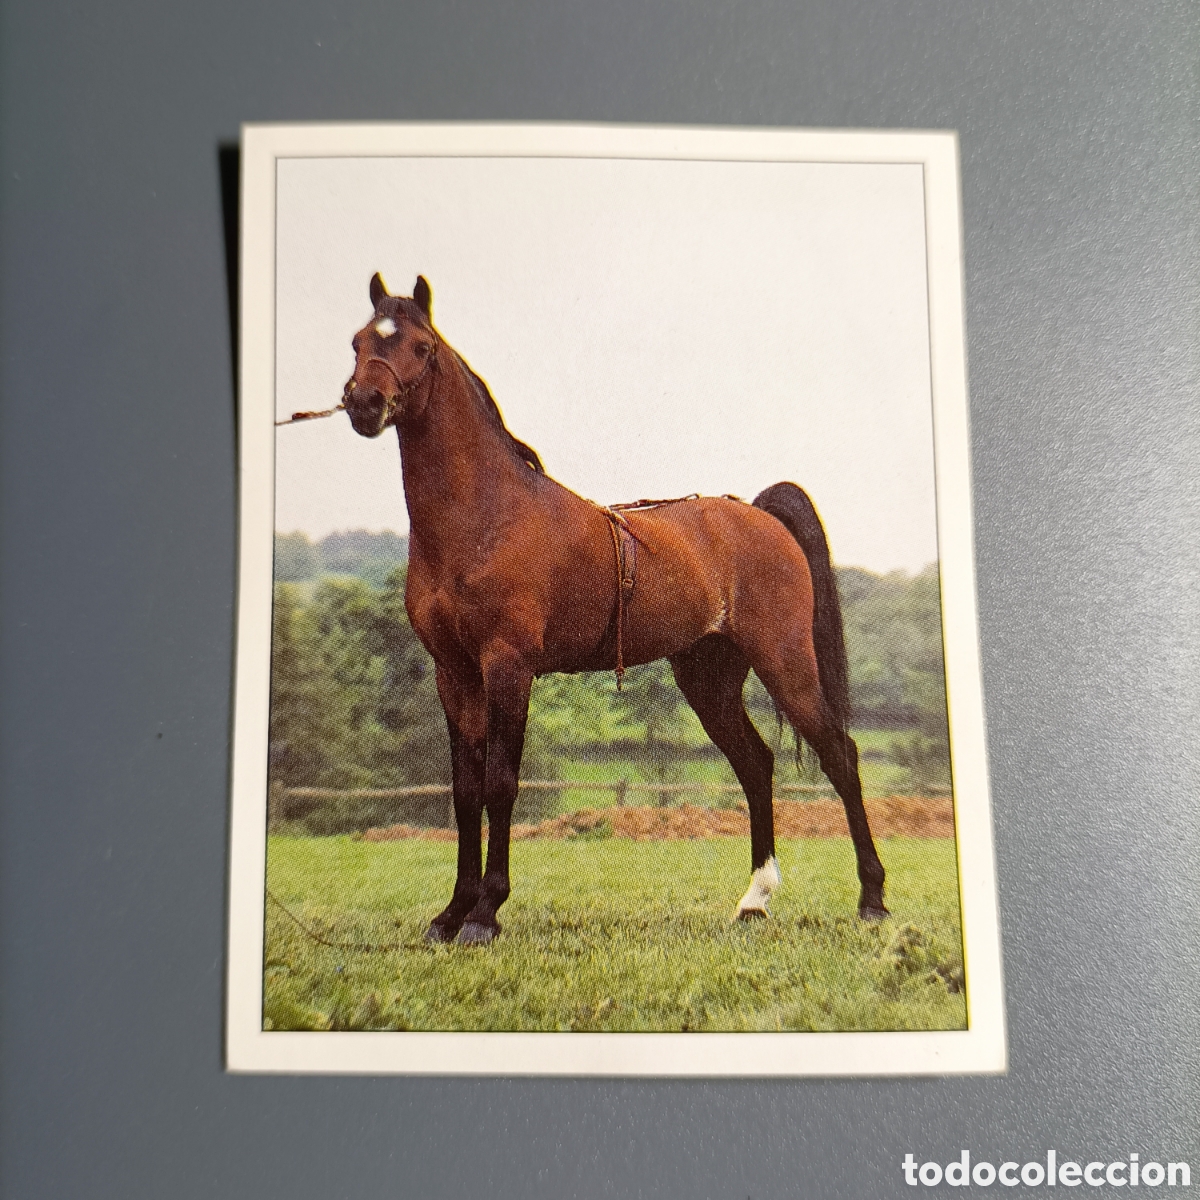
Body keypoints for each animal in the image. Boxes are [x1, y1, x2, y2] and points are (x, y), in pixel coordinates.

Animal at [339, 272, 888, 945]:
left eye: (419, 346)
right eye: (359, 340)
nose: (364, 403)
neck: (487, 517)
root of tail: (759, 515)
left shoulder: (508, 667)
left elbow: (501, 782)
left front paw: (486, 913)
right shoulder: (455, 672)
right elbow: (465, 790)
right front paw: (451, 913)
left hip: (787, 664)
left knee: (840, 756)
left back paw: (872, 899)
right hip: (709, 679)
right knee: (756, 764)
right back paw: (754, 899)